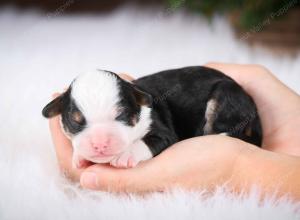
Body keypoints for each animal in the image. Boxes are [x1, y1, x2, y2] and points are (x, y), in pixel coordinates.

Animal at [42, 66, 262, 168]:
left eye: (121, 115)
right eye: (76, 121)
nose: (100, 144)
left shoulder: (163, 131)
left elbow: (145, 142)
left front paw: (126, 155)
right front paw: (79, 156)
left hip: (225, 95)